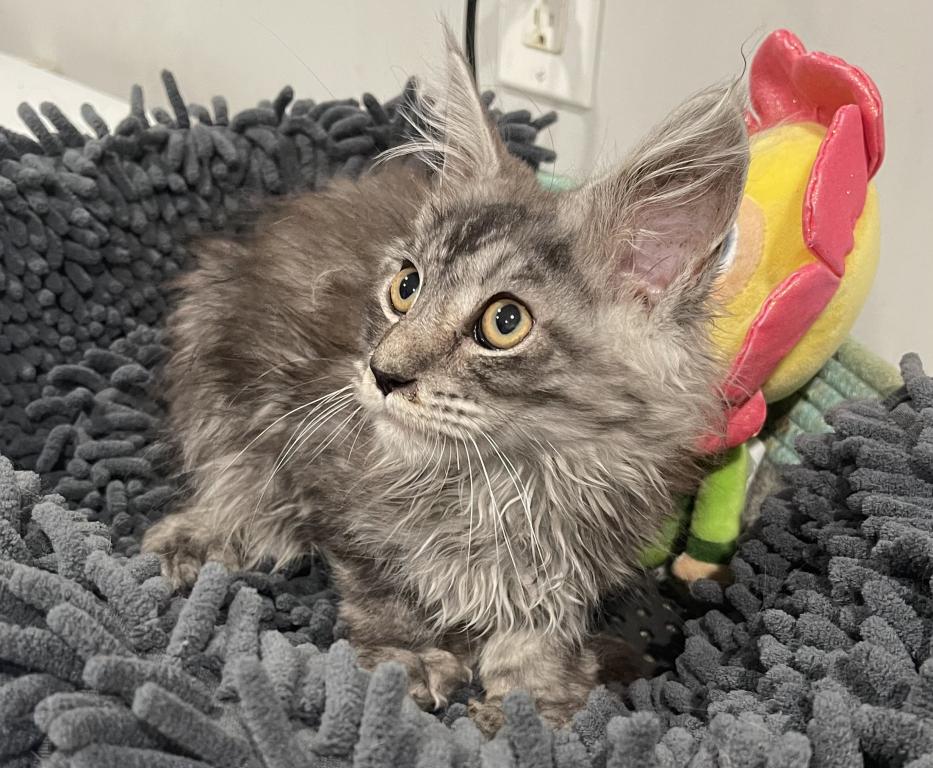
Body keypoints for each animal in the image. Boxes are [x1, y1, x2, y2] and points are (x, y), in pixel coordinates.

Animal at [143, 32, 749, 733]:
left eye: (505, 322)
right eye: (406, 286)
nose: (382, 372)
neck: (505, 482)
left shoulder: (575, 563)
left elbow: (539, 635)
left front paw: (533, 706)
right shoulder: (338, 496)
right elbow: (383, 590)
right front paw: (410, 657)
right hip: (210, 345)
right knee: (236, 486)